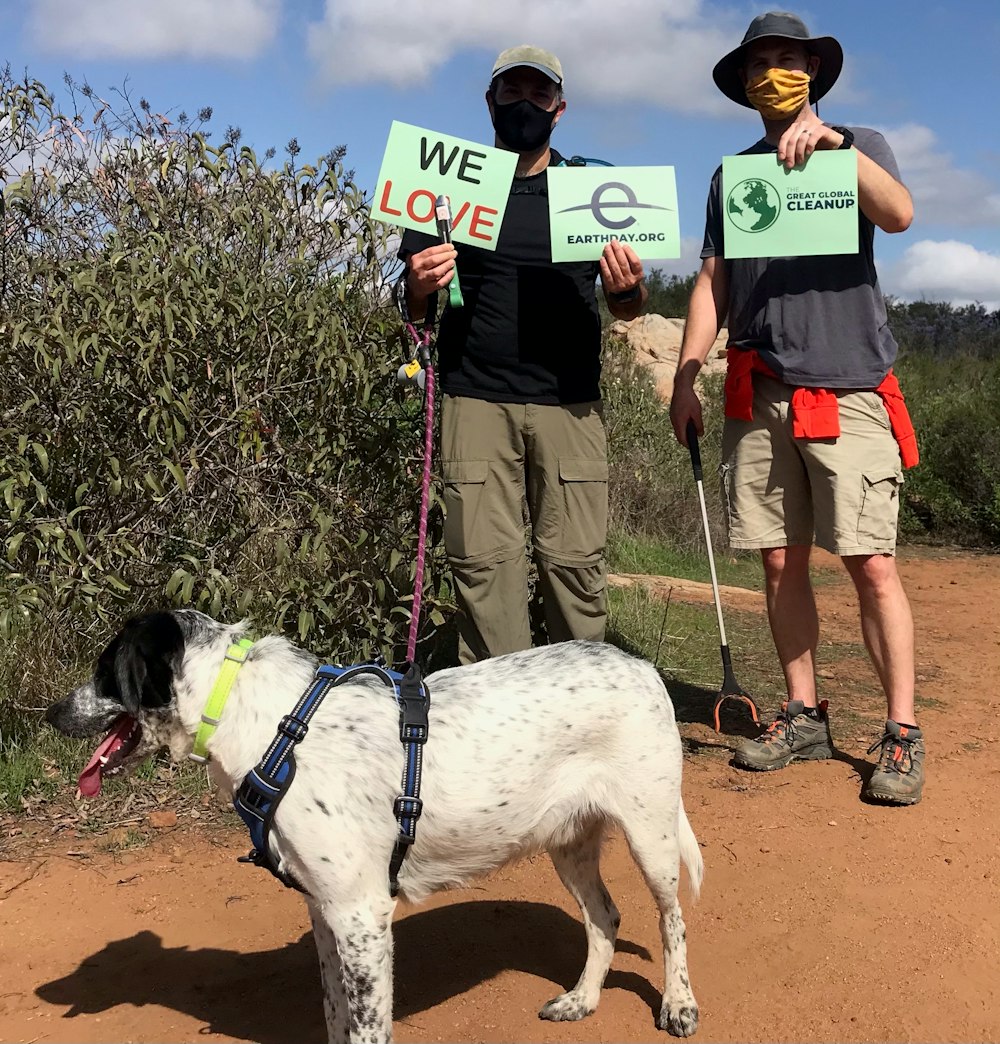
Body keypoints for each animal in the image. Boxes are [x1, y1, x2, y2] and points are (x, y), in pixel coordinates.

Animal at [44, 609, 705, 1044]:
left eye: (106, 670)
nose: (50, 714)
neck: (271, 727)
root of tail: (640, 664)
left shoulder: (362, 915)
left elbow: (366, 1029)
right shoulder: (324, 910)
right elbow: (335, 1016)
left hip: (651, 834)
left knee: (672, 919)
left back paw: (678, 1004)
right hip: (567, 842)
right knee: (605, 918)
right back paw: (582, 1001)